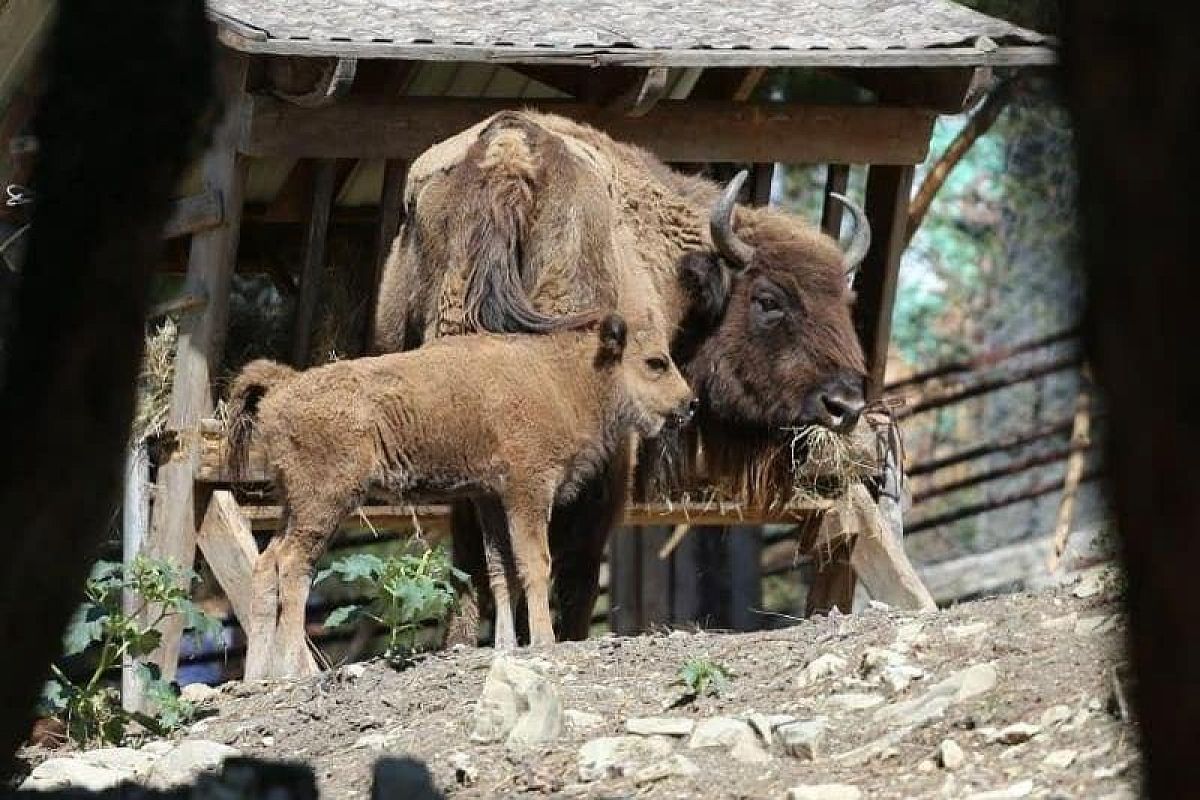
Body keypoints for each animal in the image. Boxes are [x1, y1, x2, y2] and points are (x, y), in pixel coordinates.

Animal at [226, 311, 696, 676]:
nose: (689, 403)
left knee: (266, 565)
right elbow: (534, 563)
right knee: (293, 567)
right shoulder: (528, 491)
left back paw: (257, 676)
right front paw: (544, 640)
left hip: (293, 506)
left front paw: (506, 644)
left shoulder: (490, 498)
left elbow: (500, 569)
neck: (565, 376)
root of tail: (285, 386)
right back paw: (294, 671)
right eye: (656, 362)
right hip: (323, 504)